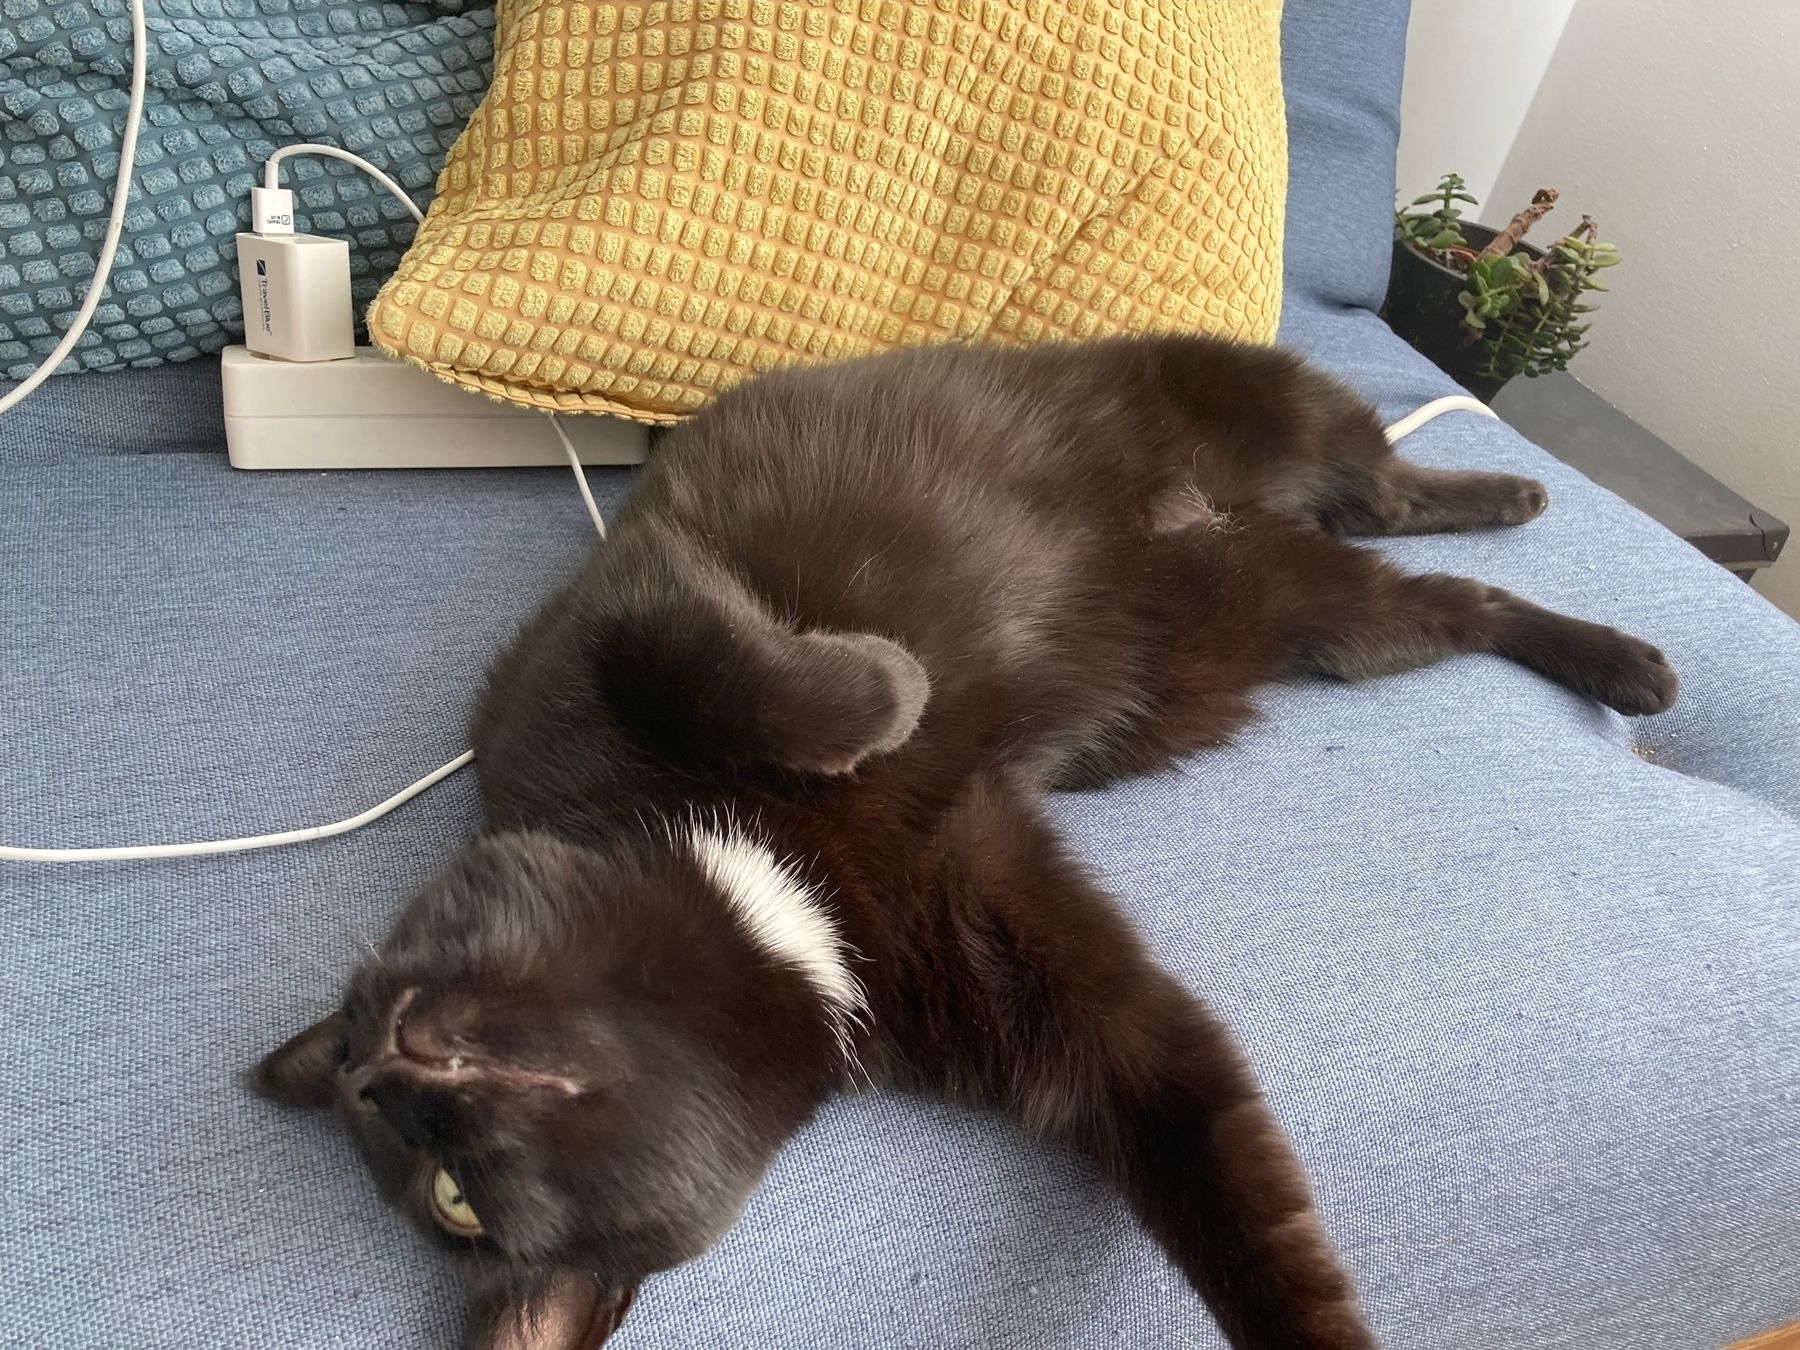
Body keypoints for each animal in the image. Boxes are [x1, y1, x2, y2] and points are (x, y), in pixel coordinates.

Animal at [253, 333, 1670, 1346]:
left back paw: (1536, 527)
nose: (386, 1069)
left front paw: (885, 695)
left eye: (376, 993)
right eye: (454, 1204)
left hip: (1260, 404)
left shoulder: (600, 626)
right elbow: (1224, 1182)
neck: (781, 899)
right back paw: (1595, 634)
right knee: (1434, 598)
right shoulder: (1080, 1018)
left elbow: (705, 659)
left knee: (1387, 486)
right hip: (1308, 614)